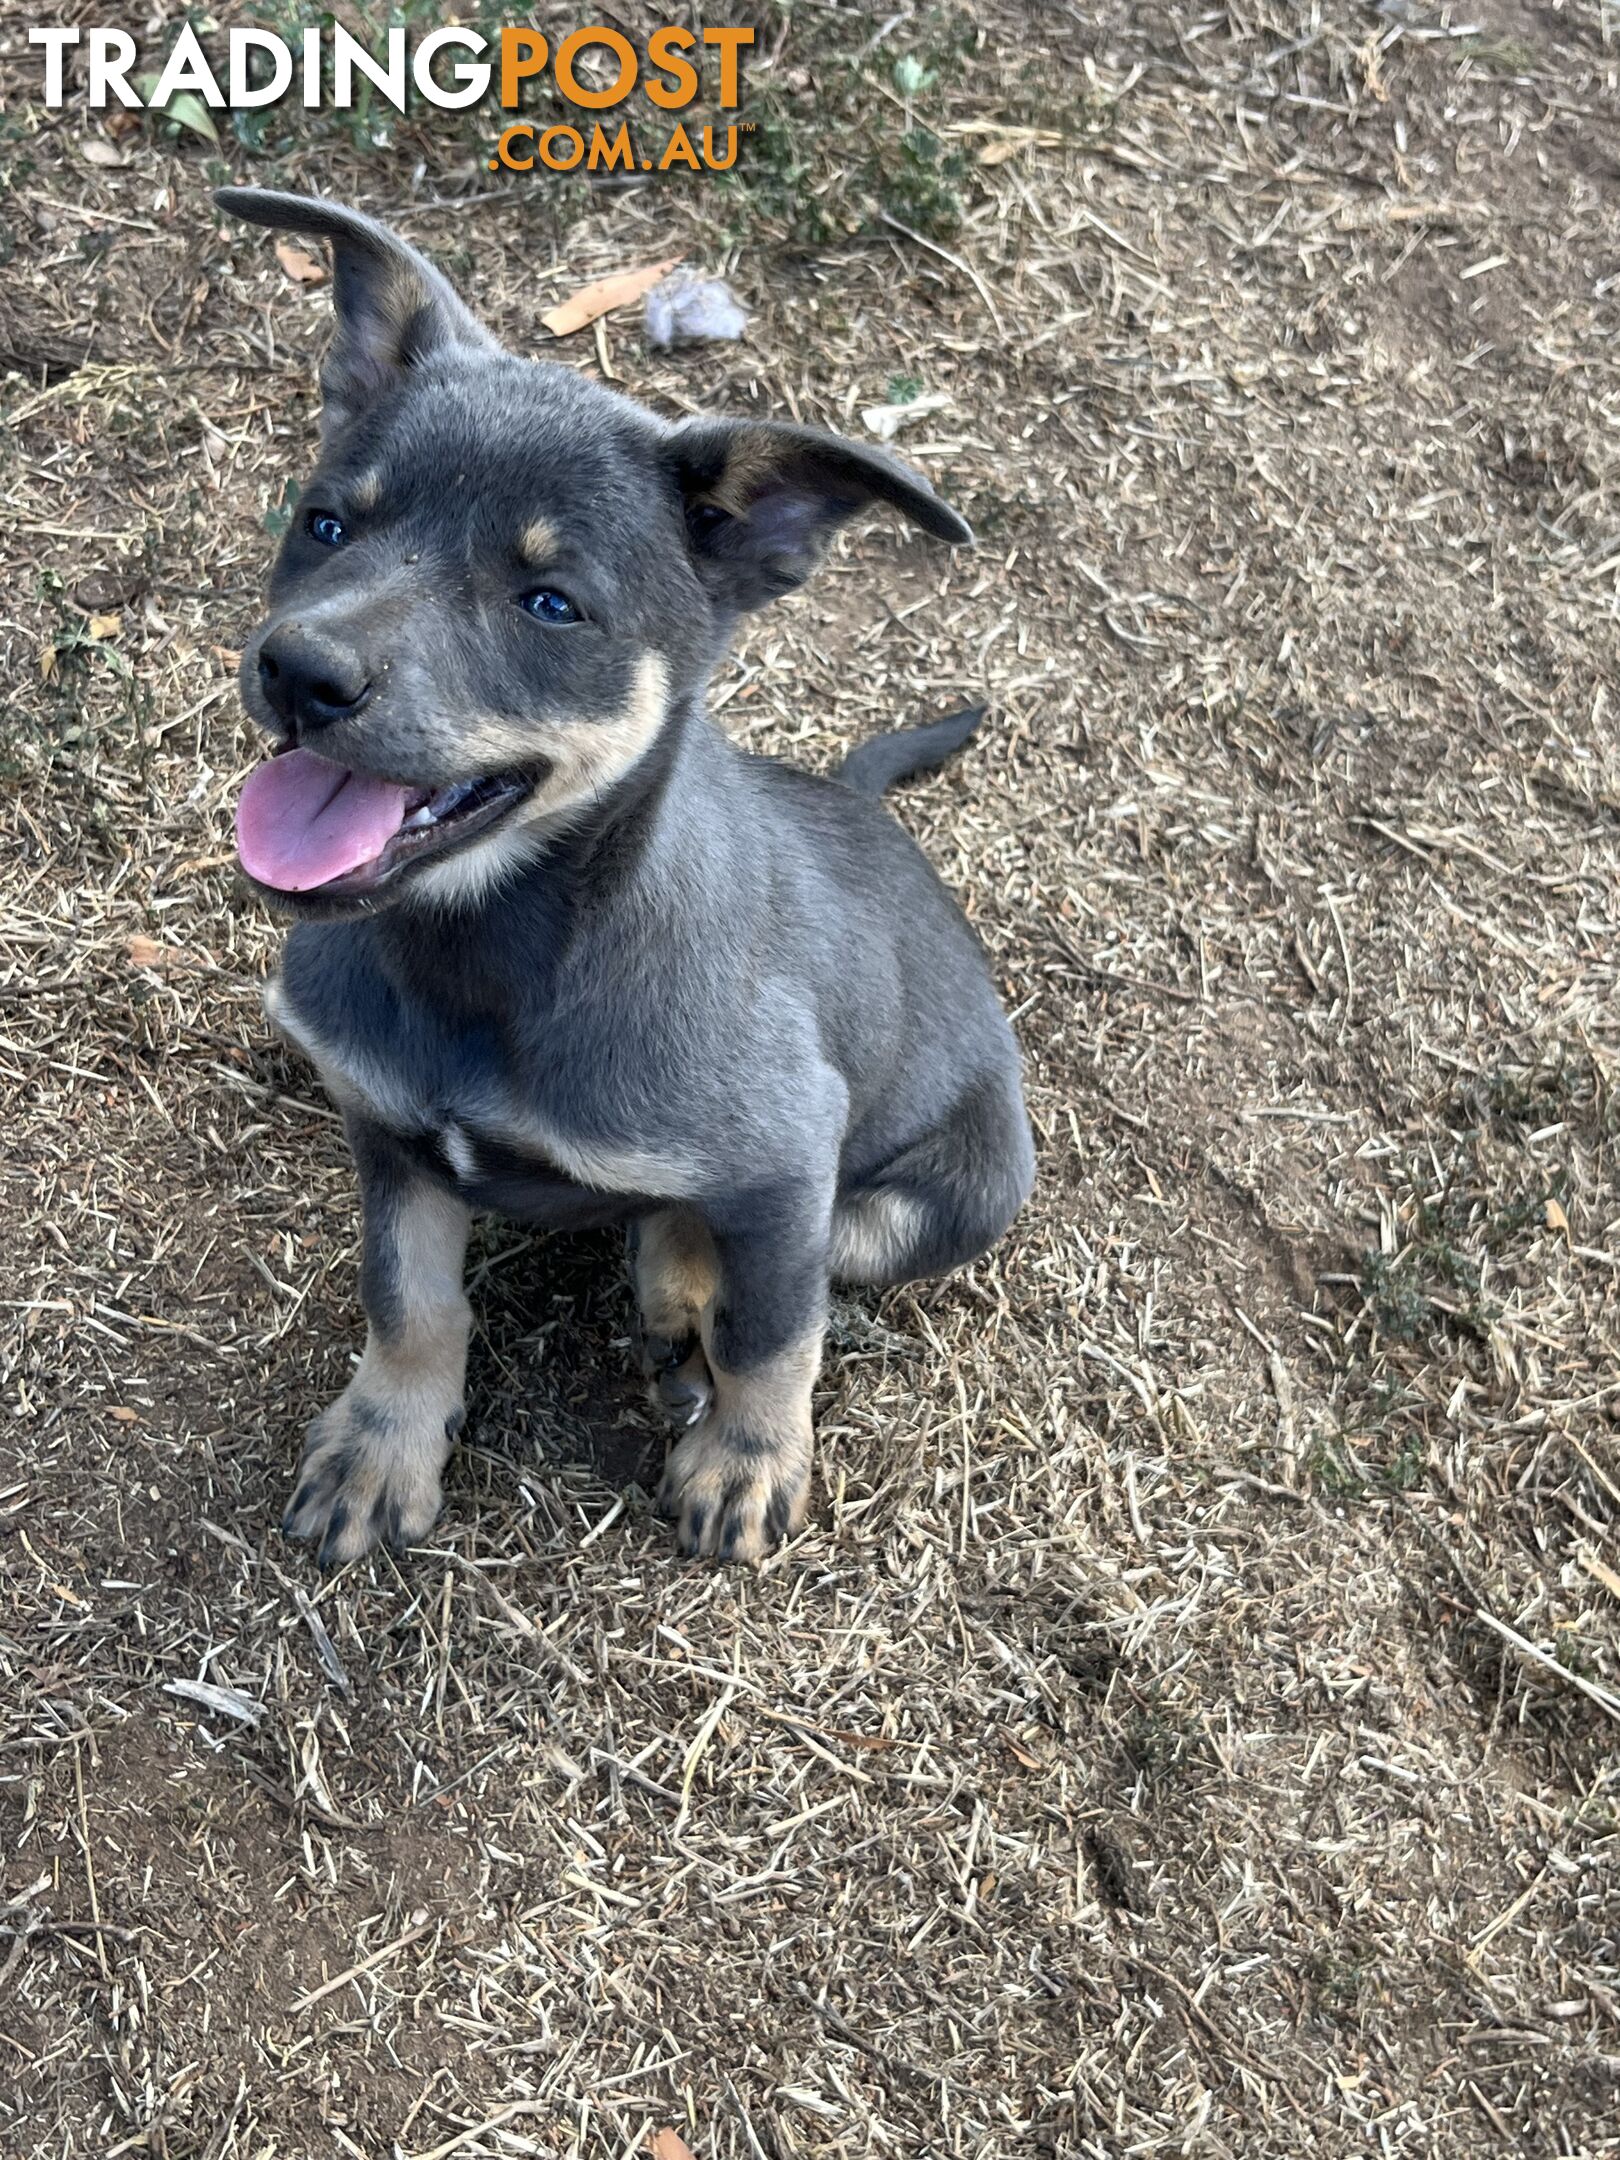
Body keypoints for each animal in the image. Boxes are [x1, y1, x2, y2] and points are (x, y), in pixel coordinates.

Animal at [216, 185, 1032, 1572]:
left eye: (551, 603)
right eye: (324, 522)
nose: (301, 673)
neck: (485, 957)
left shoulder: (792, 1147)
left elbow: (776, 1331)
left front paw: (751, 1460)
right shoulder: (385, 1129)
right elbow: (408, 1299)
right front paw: (385, 1443)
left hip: (936, 1196)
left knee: (780, 1252)